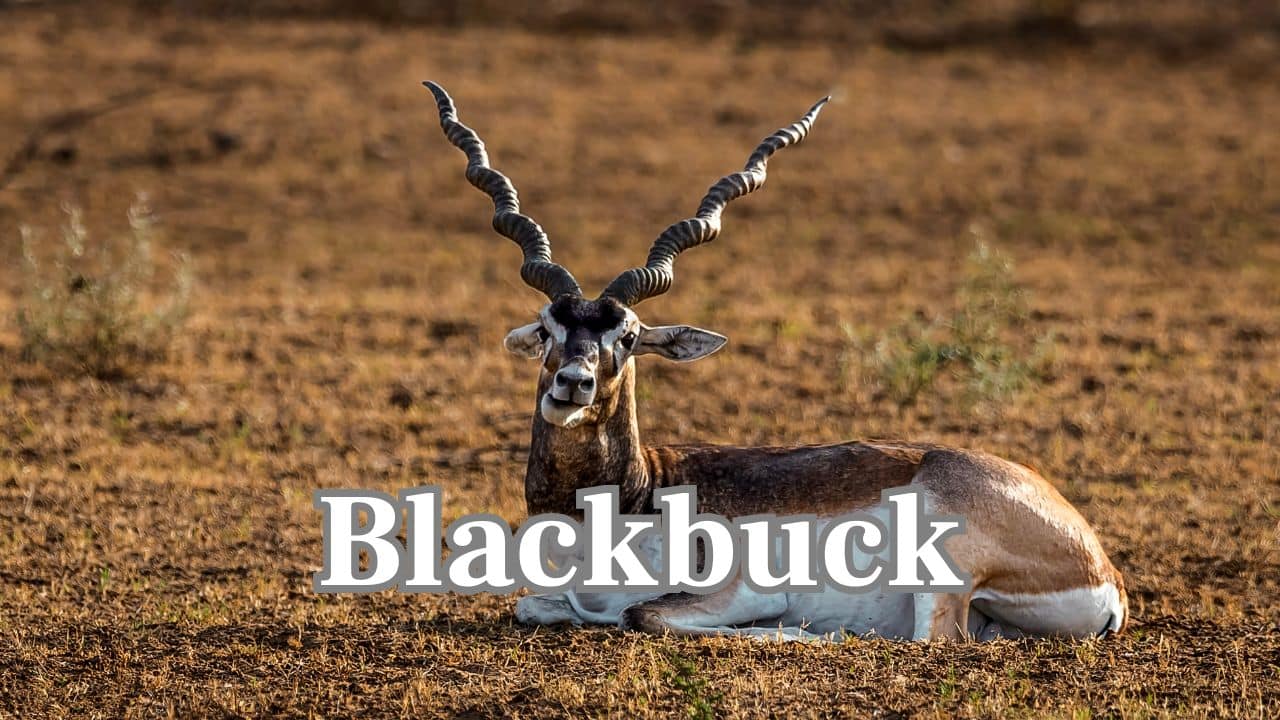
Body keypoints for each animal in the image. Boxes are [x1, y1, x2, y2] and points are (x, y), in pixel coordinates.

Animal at [423, 81, 1128, 642]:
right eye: (548, 328)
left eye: (627, 336)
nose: (573, 382)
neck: (631, 501)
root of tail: (1103, 567)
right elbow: (534, 605)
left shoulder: (734, 588)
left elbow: (640, 613)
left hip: (943, 568)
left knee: (930, 639)